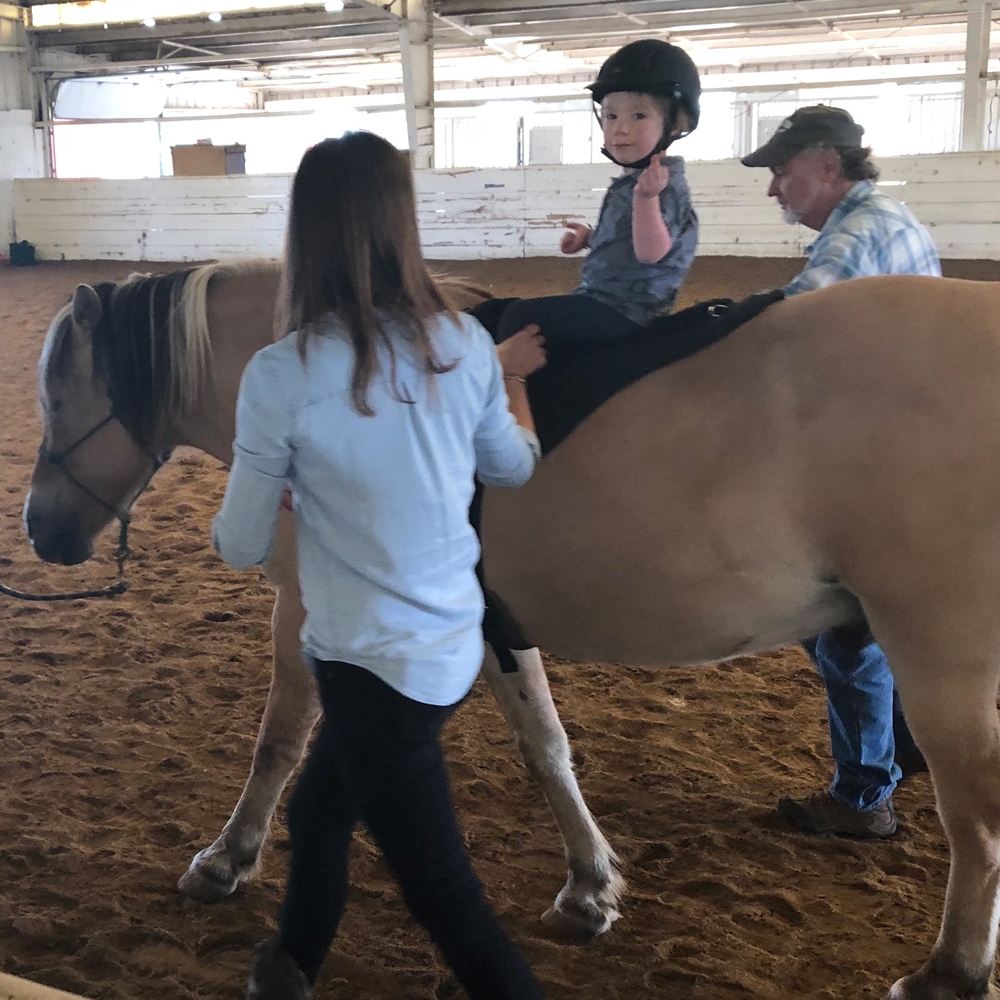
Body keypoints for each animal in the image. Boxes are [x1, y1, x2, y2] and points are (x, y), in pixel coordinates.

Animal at [21, 260, 1000, 1000]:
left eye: (59, 398)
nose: (39, 530)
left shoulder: (308, 612)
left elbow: (278, 744)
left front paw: (227, 860)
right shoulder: (486, 625)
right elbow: (546, 747)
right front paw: (590, 889)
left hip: (941, 657)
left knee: (976, 821)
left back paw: (949, 973)